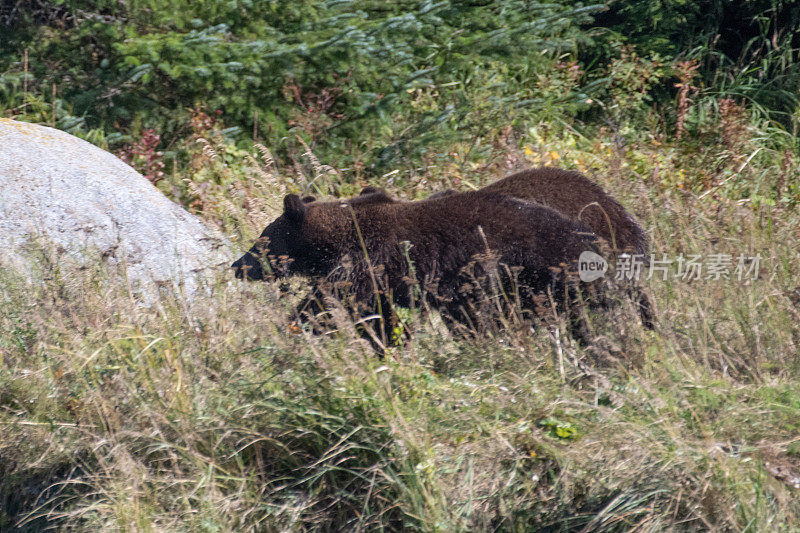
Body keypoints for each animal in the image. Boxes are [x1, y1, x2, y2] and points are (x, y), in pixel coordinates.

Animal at [231, 189, 608, 342]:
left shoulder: (366, 263)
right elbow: (378, 315)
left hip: (528, 271)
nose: (238, 265)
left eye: (261, 239)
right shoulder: (377, 276)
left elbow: (331, 302)